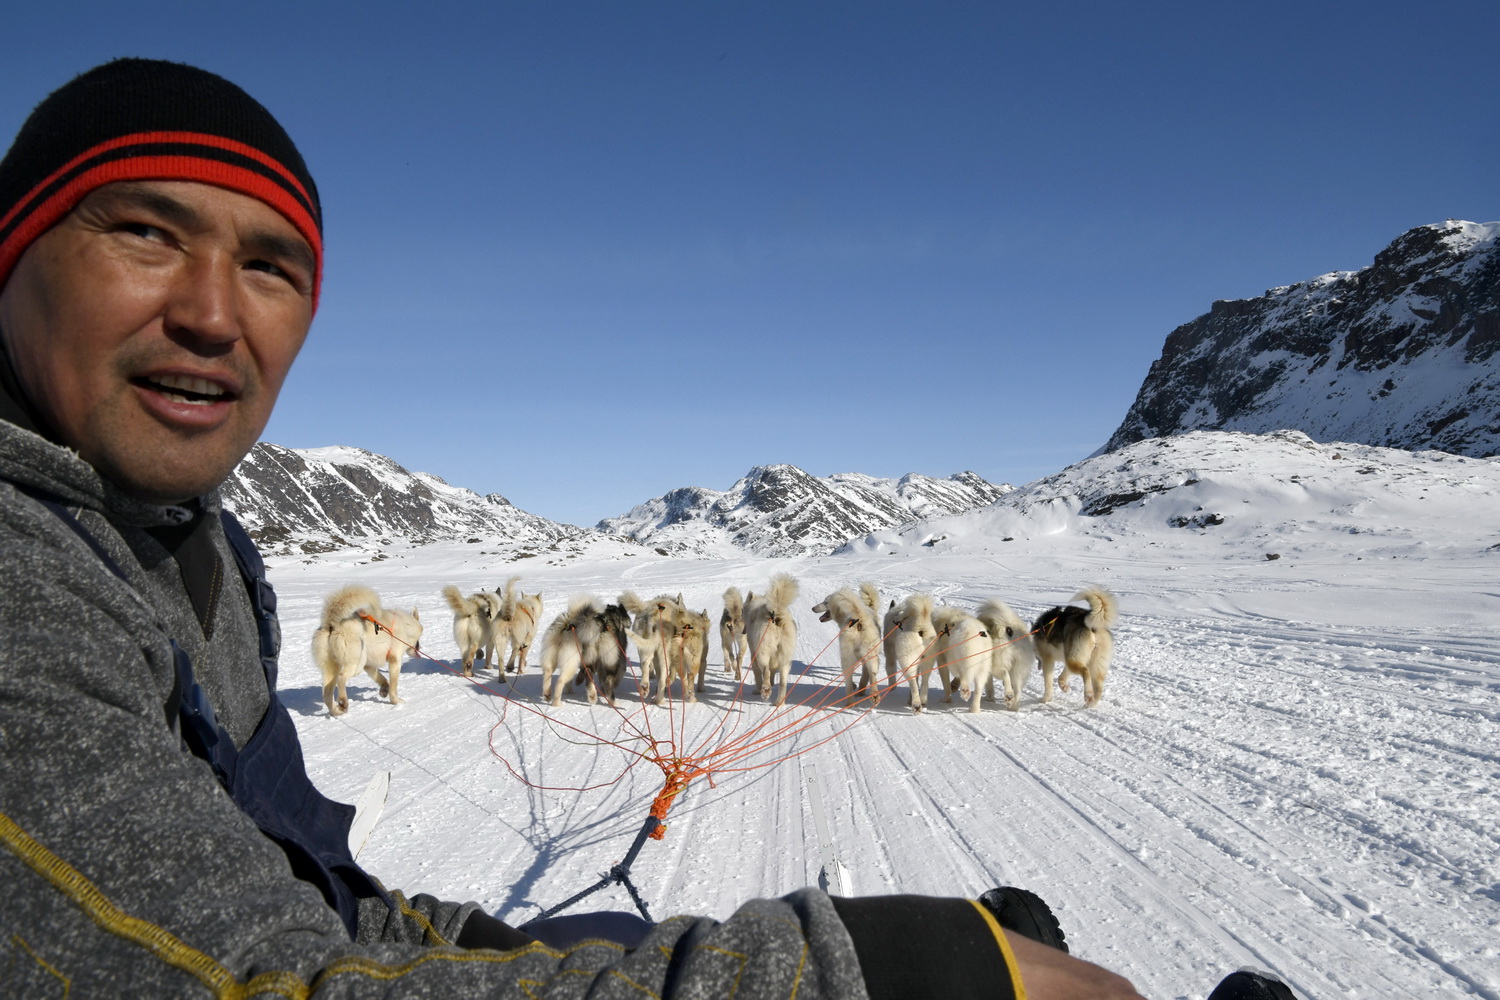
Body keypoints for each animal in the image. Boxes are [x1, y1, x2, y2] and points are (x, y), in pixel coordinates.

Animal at [310, 587, 378, 719]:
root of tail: (331, 625)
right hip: (357, 663)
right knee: (341, 678)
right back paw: (342, 701)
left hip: (331, 668)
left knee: (327, 695)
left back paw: (338, 710)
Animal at [741, 575, 798, 707]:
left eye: (741, 610)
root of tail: (775, 615)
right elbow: (773, 671)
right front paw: (772, 683)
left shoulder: (754, 654)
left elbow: (758, 674)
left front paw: (758, 689)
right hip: (785, 660)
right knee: (782, 683)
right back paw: (779, 701)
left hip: (762, 653)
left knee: (765, 671)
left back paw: (766, 690)